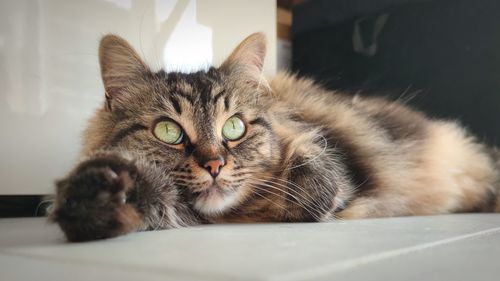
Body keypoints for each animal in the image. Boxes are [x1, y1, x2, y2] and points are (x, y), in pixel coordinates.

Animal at [51, 31, 500, 241]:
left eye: (234, 127)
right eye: (168, 131)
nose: (215, 164)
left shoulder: (325, 143)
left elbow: (315, 159)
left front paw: (307, 198)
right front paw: (94, 199)